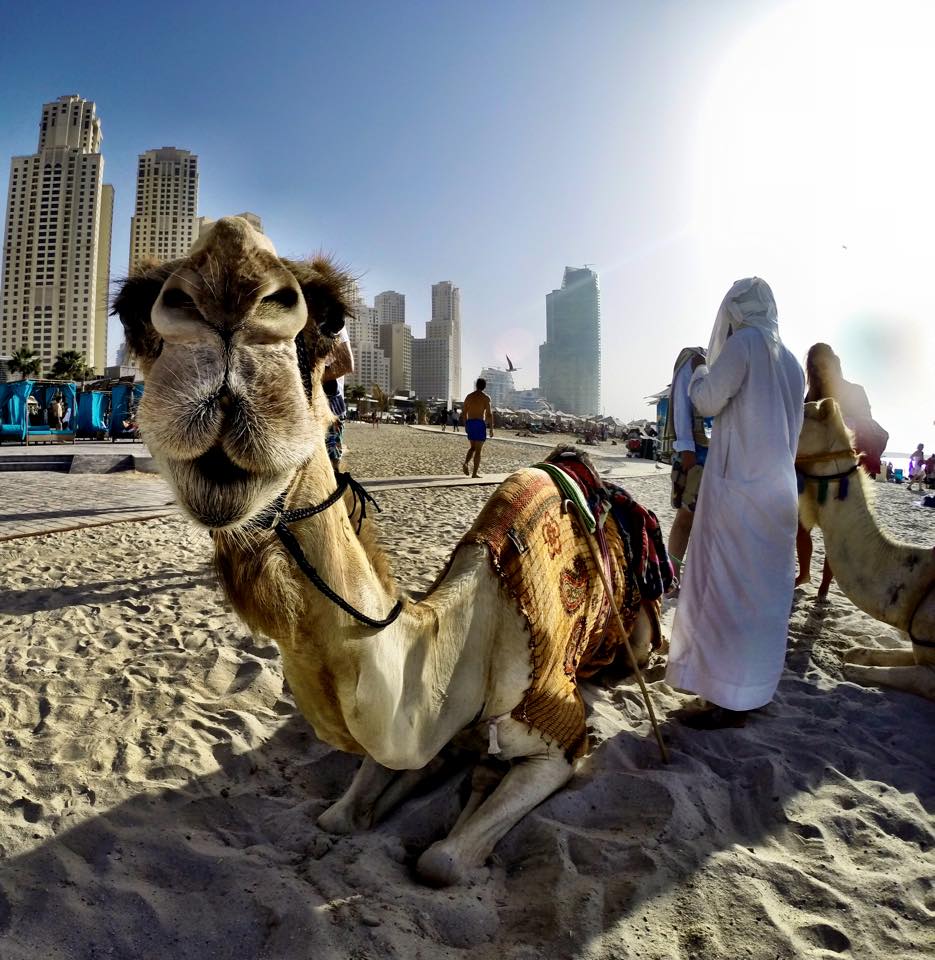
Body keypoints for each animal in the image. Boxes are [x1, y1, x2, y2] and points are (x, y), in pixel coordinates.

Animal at [113, 216, 660, 884]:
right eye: (130, 309)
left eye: (331, 316)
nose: (228, 289)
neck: (468, 636)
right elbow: (340, 815)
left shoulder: (559, 733)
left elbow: (442, 859)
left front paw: (471, 791)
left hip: (637, 637)